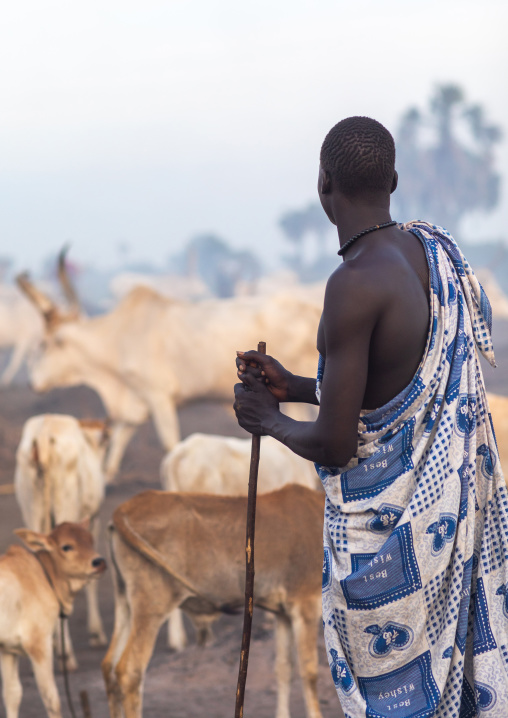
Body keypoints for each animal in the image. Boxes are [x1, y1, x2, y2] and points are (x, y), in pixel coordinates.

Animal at [0, 520, 106, 718]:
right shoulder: (39, 644)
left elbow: (12, 694)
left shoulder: (7, 649)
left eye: (90, 540)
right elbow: (51, 698)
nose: (99, 562)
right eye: (66, 546)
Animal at [14, 414, 110, 670]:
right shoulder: (92, 520)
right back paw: (67, 655)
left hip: (33, 509)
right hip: (66, 506)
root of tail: (43, 435)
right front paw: (96, 632)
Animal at [17, 271, 322, 482]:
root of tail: (311, 309)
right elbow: (119, 440)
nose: (32, 383)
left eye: (44, 344)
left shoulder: (158, 395)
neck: (118, 338)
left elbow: (168, 442)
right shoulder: (137, 399)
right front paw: (105, 478)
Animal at [102, 485, 325, 718]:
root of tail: (125, 508)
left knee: (109, 666)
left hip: (125, 602)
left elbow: (283, 668)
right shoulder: (306, 607)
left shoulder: (282, 614)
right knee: (130, 671)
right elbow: (309, 671)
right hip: (151, 608)